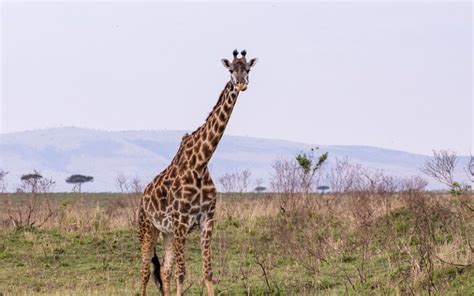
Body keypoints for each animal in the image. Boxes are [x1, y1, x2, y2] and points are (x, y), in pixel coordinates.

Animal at [137, 49, 258, 294]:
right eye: (231, 70)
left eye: (248, 69)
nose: (241, 84)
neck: (200, 163)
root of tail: (142, 197)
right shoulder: (181, 223)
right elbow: (182, 275)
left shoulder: (206, 220)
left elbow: (208, 274)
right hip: (147, 228)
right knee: (144, 272)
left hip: (166, 233)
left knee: (164, 271)